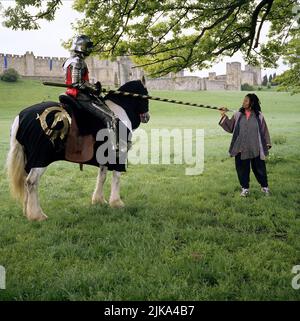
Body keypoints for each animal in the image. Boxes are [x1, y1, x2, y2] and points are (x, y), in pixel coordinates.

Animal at [5, 79, 149, 221]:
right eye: (146, 92)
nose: (147, 117)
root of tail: (20, 117)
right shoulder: (119, 155)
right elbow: (116, 177)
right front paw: (116, 203)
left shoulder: (104, 156)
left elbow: (101, 176)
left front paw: (99, 200)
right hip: (40, 159)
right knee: (31, 182)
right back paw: (37, 215)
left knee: (25, 180)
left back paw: (27, 212)